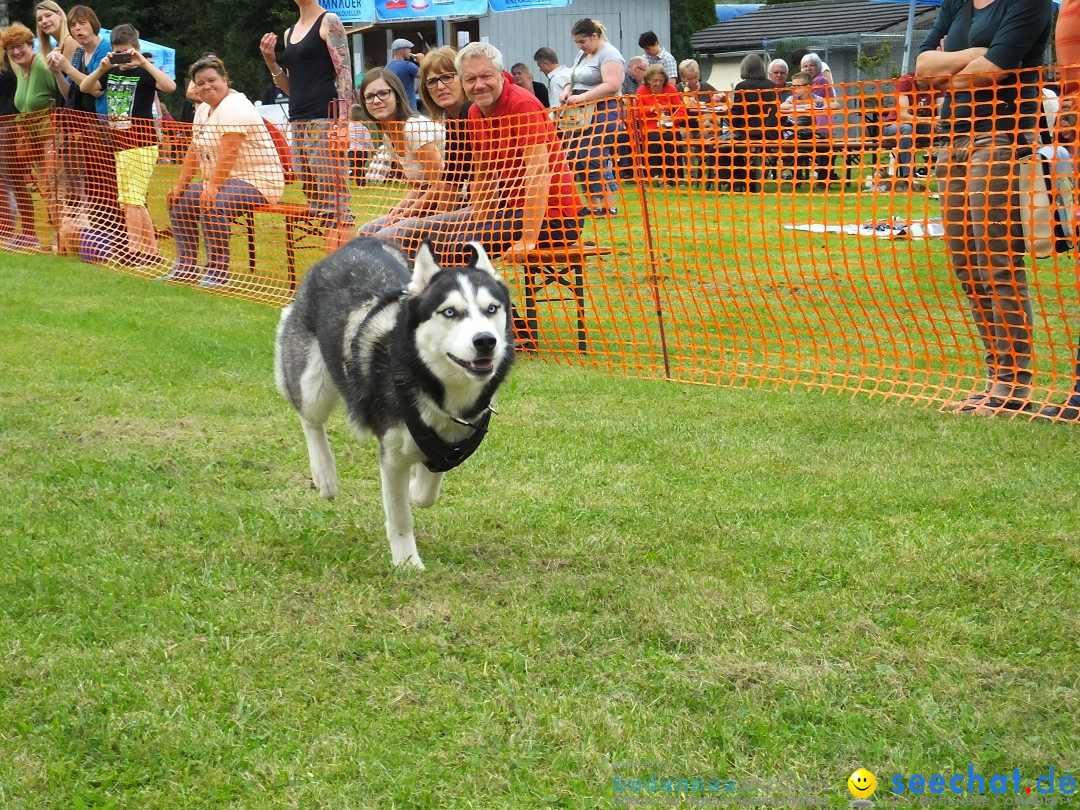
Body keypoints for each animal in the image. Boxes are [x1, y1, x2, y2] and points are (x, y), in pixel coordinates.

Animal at [276, 236, 516, 570]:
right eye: (449, 312)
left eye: (491, 309)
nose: (485, 341)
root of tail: (358, 242)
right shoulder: (391, 456)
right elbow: (401, 514)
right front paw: (407, 563)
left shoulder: (447, 446)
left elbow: (426, 491)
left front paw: (416, 486)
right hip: (312, 384)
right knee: (310, 419)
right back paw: (324, 474)